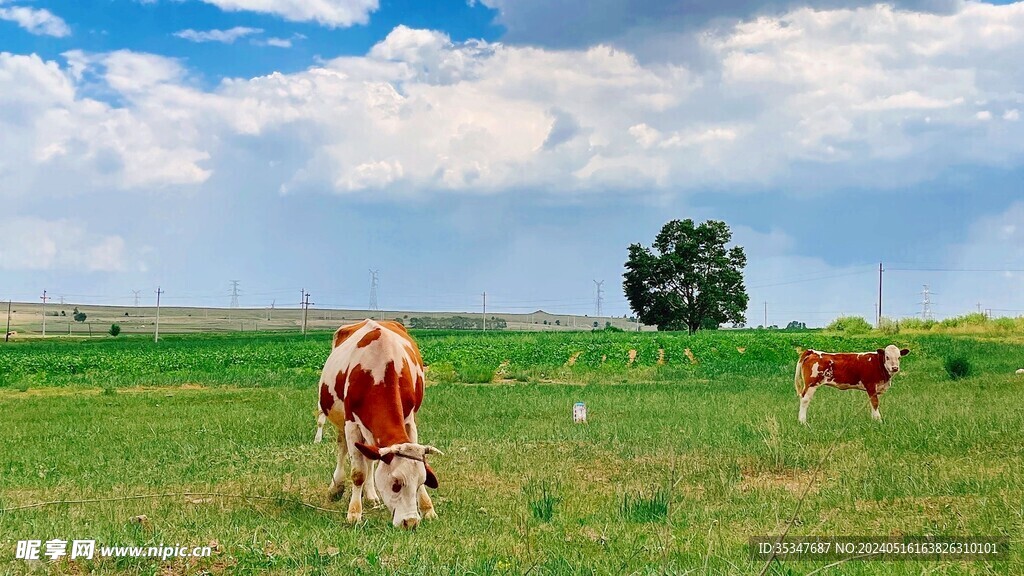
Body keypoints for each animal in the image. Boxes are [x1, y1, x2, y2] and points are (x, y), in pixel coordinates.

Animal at [313, 315, 438, 528]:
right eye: (395, 484)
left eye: (420, 482)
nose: (411, 522)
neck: (380, 369)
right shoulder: (351, 423)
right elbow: (358, 473)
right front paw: (354, 513)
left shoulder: (409, 420)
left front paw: (428, 508)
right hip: (340, 419)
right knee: (343, 448)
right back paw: (337, 487)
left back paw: (371, 496)